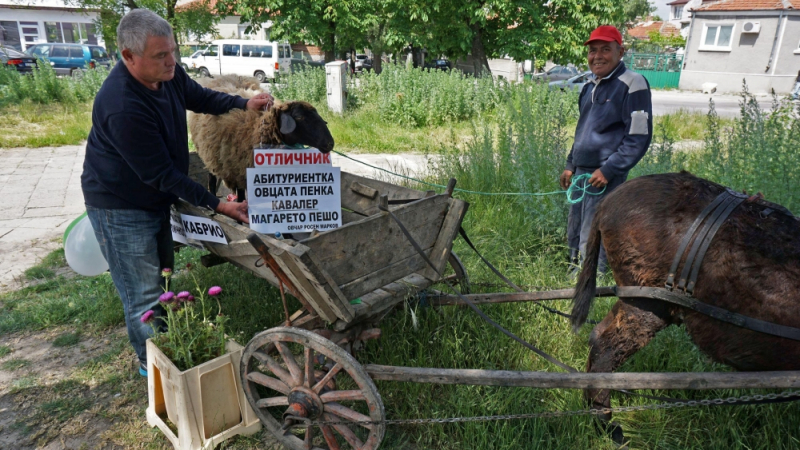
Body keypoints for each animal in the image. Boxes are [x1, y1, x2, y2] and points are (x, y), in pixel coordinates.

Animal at [189, 74, 332, 193]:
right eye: (298, 117)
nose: (330, 142)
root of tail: (218, 77)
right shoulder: (238, 174)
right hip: (210, 155)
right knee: (212, 178)